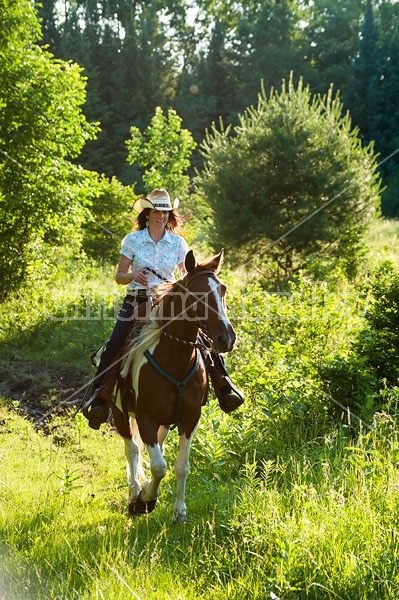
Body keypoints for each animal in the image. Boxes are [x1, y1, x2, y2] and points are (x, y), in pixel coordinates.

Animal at [111, 248, 238, 520]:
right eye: (197, 294)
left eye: (222, 289)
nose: (227, 338)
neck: (174, 360)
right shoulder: (145, 417)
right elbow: (159, 466)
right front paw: (145, 500)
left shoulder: (190, 418)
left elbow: (181, 466)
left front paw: (179, 512)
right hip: (119, 412)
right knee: (132, 450)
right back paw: (134, 491)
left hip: (166, 421)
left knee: (153, 447)